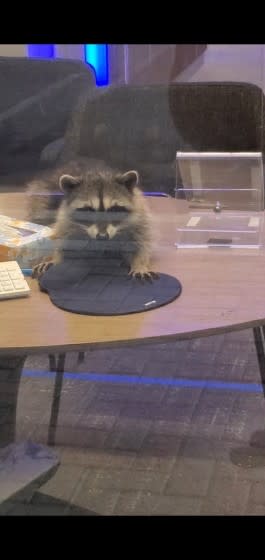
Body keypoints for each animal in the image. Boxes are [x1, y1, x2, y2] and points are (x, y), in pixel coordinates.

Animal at [26, 158, 155, 280]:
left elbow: (142, 242)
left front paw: (139, 264)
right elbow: (59, 239)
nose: (102, 237)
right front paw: (54, 258)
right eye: (88, 210)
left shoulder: (139, 214)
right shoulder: (65, 218)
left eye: (114, 210)